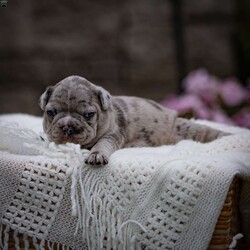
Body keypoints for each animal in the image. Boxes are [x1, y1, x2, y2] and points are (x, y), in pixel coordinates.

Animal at [39, 76, 227, 166]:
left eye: (89, 115)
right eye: (51, 112)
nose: (67, 127)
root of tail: (172, 116)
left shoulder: (112, 134)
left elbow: (102, 144)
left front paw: (96, 155)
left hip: (184, 130)